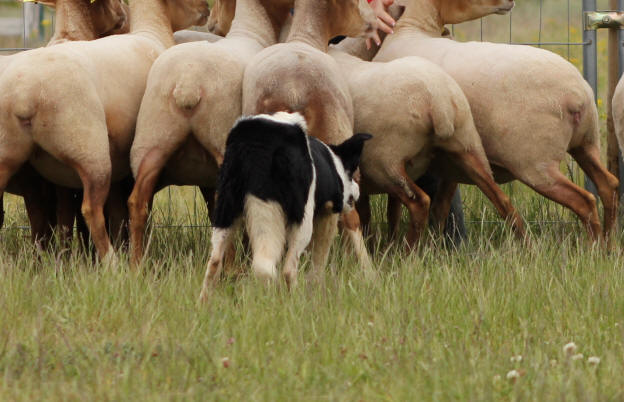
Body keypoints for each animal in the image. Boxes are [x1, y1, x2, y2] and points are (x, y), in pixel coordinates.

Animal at [0, 0, 211, 260]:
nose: (206, 9)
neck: (152, 33)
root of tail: (23, 94)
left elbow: (108, 216)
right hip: (89, 148)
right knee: (91, 209)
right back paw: (111, 261)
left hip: (10, 153)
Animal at [127, 0, 294, 266]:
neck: (254, 30)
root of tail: (188, 82)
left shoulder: (205, 173)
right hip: (221, 138)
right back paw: (232, 269)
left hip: (152, 140)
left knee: (138, 202)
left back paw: (136, 265)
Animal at [240, 0, 378, 274]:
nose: (368, 26)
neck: (305, 37)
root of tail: (293, 89)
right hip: (336, 133)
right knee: (349, 215)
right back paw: (368, 272)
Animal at [370, 0, 620, 245]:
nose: (511, 2)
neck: (410, 30)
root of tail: (578, 95)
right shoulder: (454, 160)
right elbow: (439, 208)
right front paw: (434, 246)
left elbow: (396, 209)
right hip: (586, 142)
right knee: (608, 185)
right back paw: (608, 245)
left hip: (535, 162)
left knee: (584, 201)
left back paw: (594, 248)